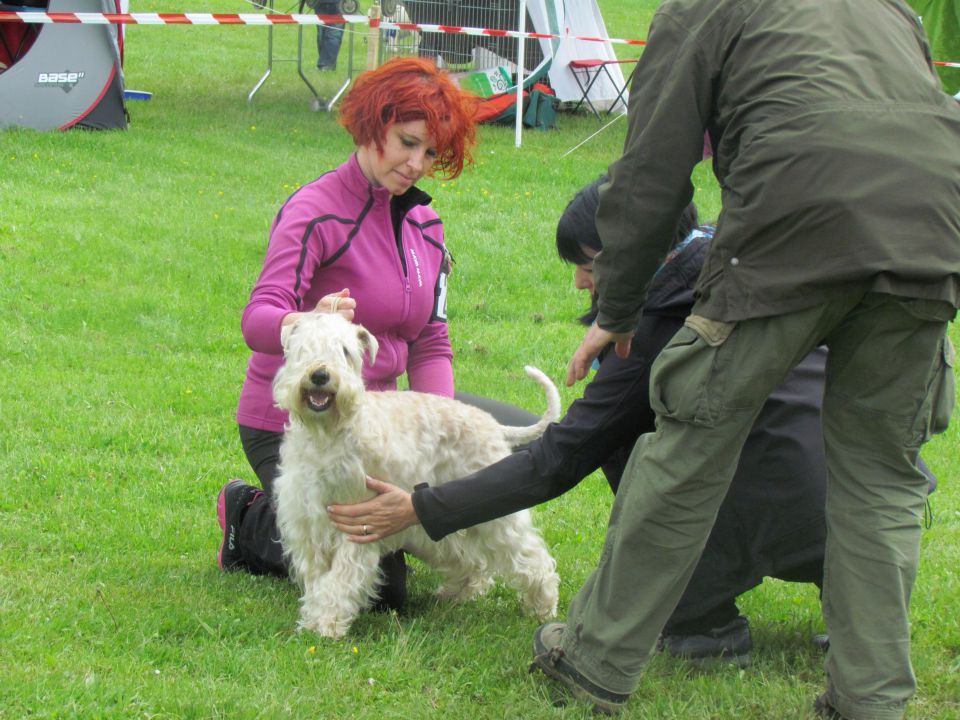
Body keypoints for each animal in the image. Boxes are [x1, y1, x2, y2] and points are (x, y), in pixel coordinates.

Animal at [272, 312, 564, 640]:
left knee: (531, 558)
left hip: (496, 517)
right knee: (470, 559)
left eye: (345, 351)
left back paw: (542, 607)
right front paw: (313, 619)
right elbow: (316, 580)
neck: (326, 436)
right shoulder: (307, 524)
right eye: (303, 348)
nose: (321, 375)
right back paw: (453, 596)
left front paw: (326, 624)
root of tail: (494, 426)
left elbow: (340, 580)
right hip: (440, 516)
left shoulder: (356, 523)